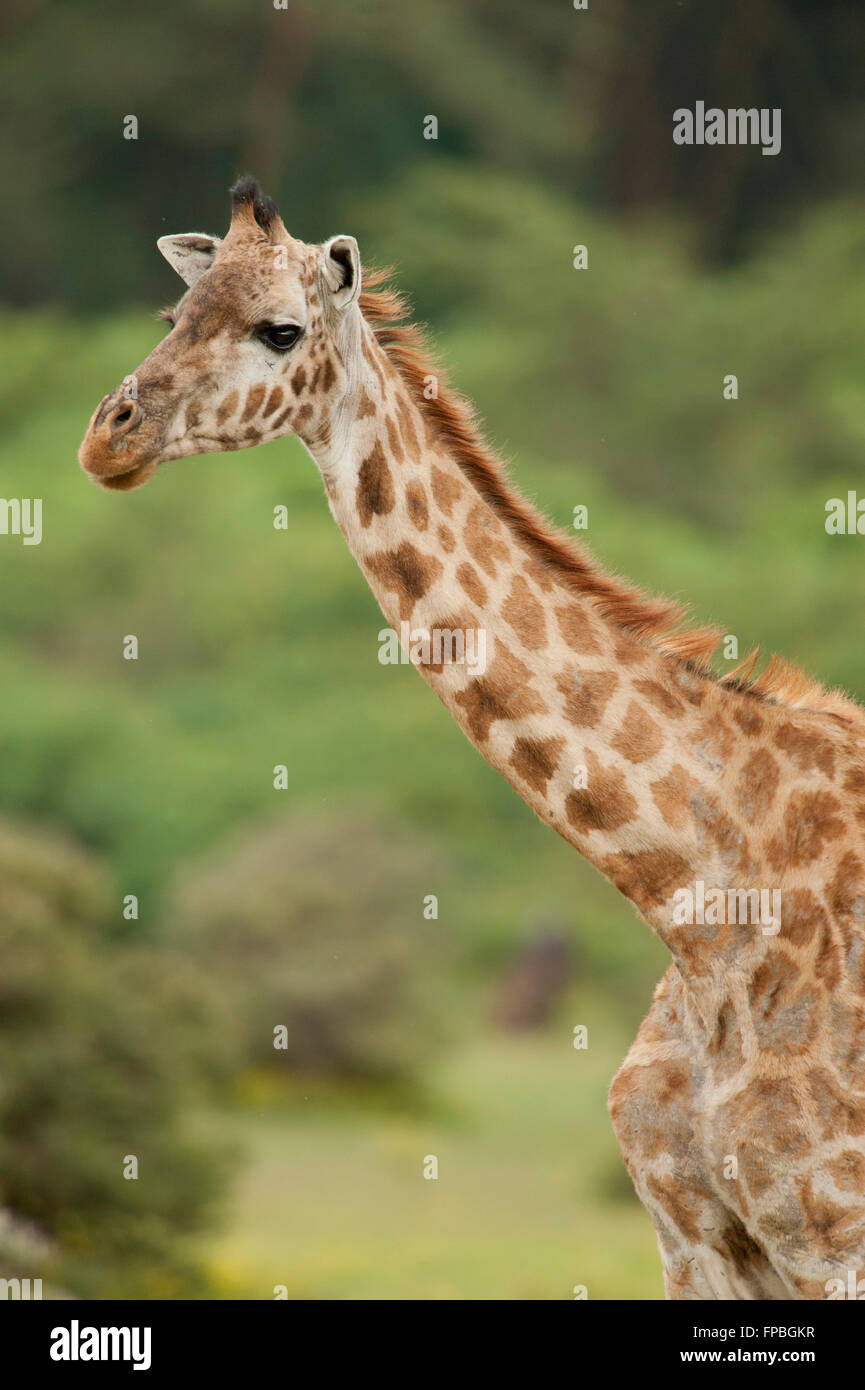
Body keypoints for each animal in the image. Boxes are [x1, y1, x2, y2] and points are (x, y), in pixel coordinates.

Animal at [79, 176, 865, 1301]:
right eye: (171, 314)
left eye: (280, 330)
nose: (110, 436)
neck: (697, 899)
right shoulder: (695, 1242)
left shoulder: (828, 1233)